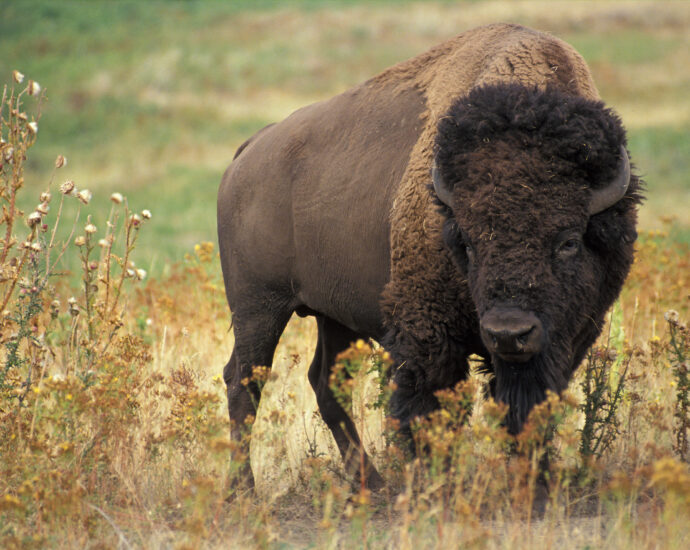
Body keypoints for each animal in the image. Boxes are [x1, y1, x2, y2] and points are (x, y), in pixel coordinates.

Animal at [219, 22, 640, 492]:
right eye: (468, 243)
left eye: (568, 241)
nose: (508, 333)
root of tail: (249, 151)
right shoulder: (428, 335)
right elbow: (428, 411)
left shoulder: (565, 339)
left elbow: (528, 410)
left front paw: (535, 484)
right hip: (259, 307)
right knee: (244, 382)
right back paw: (244, 490)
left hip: (333, 315)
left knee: (325, 382)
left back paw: (371, 484)